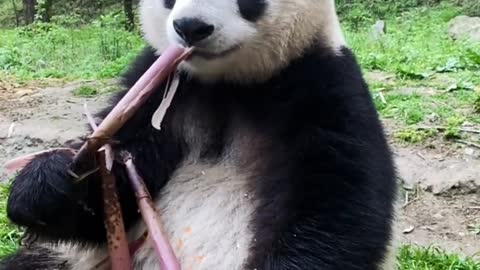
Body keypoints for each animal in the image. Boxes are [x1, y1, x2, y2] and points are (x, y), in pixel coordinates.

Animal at [0, 0, 398, 268]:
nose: (191, 27)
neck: (229, 83)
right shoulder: (162, 88)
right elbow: (120, 189)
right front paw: (47, 184)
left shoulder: (321, 86)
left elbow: (338, 211)